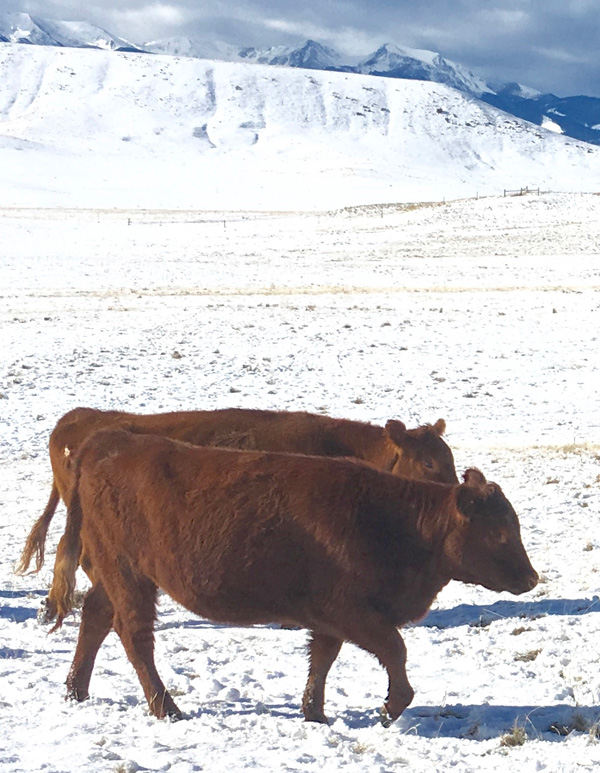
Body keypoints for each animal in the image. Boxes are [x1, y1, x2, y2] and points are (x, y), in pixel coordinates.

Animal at [50, 428, 536, 724]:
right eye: (498, 532)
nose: (531, 578)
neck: (395, 519)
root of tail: (109, 441)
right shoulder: (353, 612)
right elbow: (394, 652)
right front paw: (387, 709)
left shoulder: (330, 619)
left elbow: (321, 660)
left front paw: (314, 714)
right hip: (129, 575)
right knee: (134, 635)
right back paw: (167, 708)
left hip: (116, 576)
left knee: (95, 617)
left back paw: (76, 692)